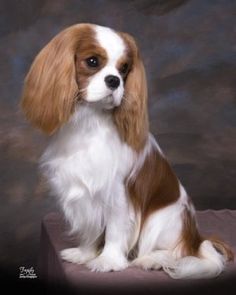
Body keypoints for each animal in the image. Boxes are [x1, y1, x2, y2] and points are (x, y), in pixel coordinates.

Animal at [20, 23, 234, 280]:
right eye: (92, 61)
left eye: (124, 69)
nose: (114, 80)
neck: (91, 122)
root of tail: (196, 238)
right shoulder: (84, 193)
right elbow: (91, 229)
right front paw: (85, 254)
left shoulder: (118, 193)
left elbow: (114, 230)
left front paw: (108, 261)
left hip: (162, 221)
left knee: (178, 251)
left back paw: (152, 260)